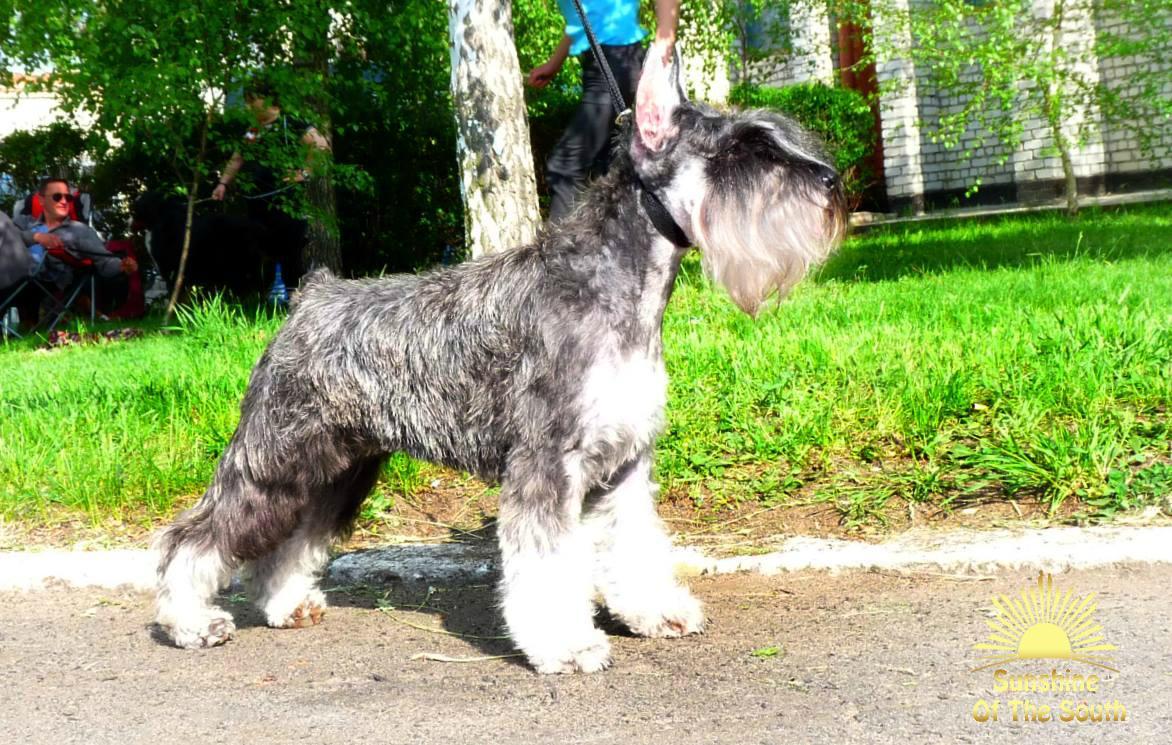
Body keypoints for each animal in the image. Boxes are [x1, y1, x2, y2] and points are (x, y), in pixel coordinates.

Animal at [155, 51, 847, 673]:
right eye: (741, 152)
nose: (832, 182)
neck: (615, 287)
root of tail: (310, 297)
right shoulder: (546, 465)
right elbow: (546, 565)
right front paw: (567, 644)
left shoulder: (626, 464)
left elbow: (634, 546)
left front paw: (656, 612)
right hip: (276, 457)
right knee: (197, 536)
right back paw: (190, 622)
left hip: (340, 469)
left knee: (291, 542)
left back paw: (283, 605)